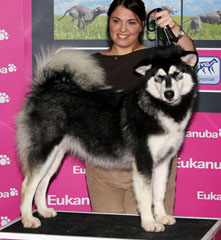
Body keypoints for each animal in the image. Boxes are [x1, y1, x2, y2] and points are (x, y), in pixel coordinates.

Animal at [16, 44, 198, 231]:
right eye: (159, 77)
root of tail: (44, 89)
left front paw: (161, 217)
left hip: (55, 157)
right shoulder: (143, 161)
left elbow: (159, 193)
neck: (159, 108)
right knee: (27, 184)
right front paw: (149, 223)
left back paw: (43, 210)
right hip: (44, 151)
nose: (169, 93)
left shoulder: (163, 161)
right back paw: (28, 218)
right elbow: (146, 197)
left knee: (42, 183)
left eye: (177, 73)